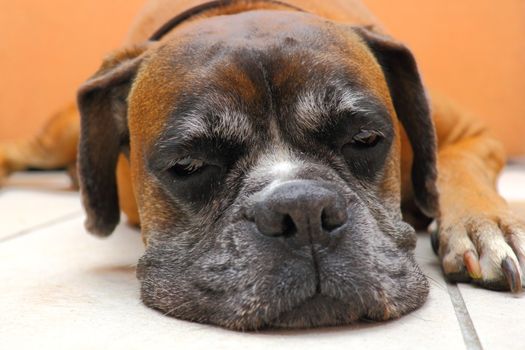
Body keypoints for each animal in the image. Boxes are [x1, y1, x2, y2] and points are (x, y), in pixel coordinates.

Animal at [1, 0, 524, 330]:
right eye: (187, 165)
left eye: (365, 139)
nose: (304, 211)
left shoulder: (473, 133)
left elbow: (457, 167)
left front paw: (484, 226)